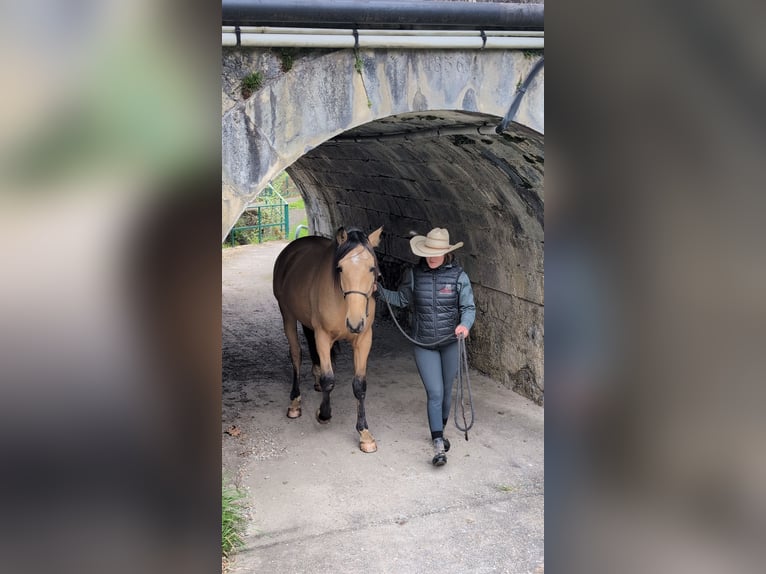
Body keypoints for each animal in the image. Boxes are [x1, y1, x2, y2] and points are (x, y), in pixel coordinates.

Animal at [272, 226, 383, 453]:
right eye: (340, 268)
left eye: (371, 268)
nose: (355, 322)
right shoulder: (322, 336)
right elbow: (329, 379)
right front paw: (323, 414)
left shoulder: (364, 339)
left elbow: (359, 385)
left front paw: (364, 434)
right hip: (287, 315)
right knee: (296, 355)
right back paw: (295, 403)